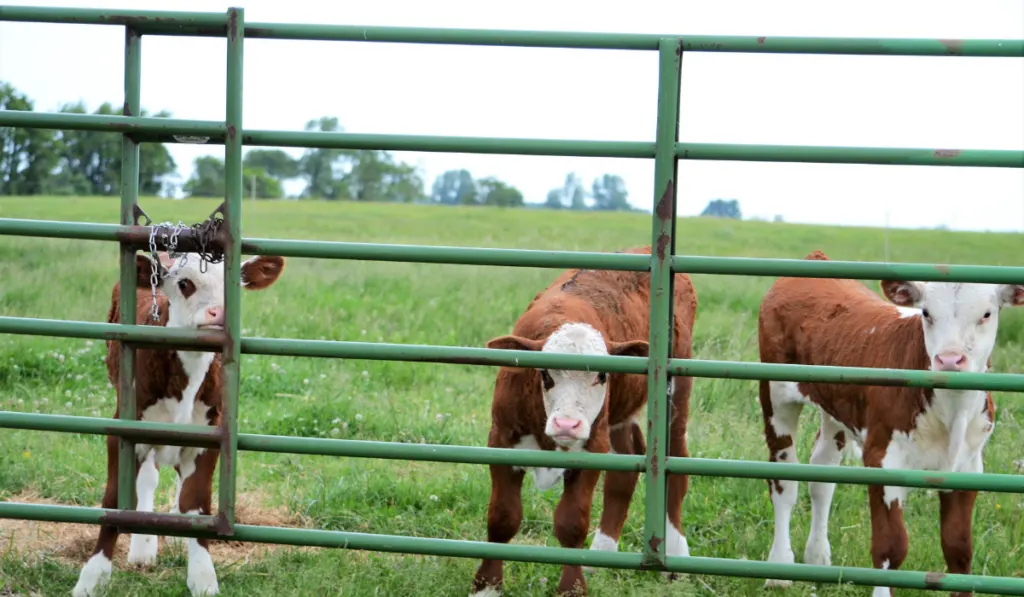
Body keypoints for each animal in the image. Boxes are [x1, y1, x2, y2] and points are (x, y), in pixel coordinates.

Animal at [73, 251, 284, 597]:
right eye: (185, 283)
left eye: (234, 285)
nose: (219, 312)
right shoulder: (123, 429)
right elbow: (115, 499)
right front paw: (92, 577)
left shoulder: (210, 434)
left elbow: (195, 501)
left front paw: (202, 576)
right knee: (147, 478)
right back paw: (143, 545)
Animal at [468, 246, 696, 597]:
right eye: (545, 374)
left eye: (602, 375)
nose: (566, 425)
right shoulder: (501, 439)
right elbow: (502, 518)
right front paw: (486, 587)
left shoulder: (592, 447)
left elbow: (571, 522)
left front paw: (571, 587)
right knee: (626, 467)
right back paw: (601, 554)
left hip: (677, 392)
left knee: (677, 465)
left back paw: (676, 555)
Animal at [757, 249, 1019, 593]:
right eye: (926, 313)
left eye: (986, 314)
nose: (949, 360)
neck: (951, 415)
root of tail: (815, 260)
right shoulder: (883, 459)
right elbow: (891, 546)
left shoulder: (968, 467)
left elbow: (958, 550)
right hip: (776, 399)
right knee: (784, 481)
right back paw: (779, 568)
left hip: (835, 410)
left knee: (822, 474)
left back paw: (817, 558)